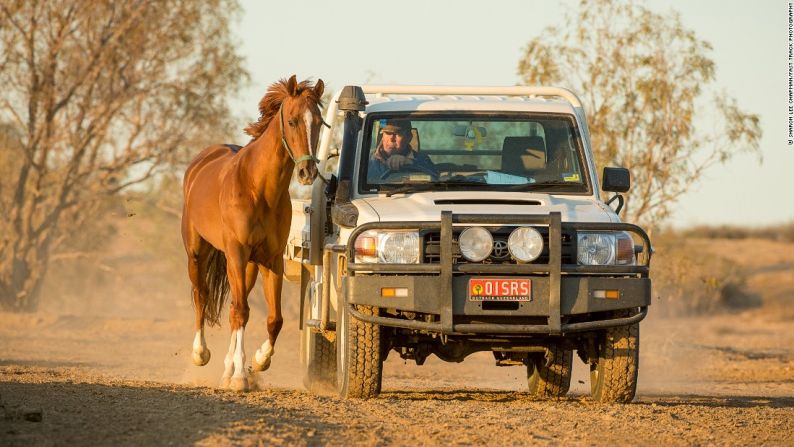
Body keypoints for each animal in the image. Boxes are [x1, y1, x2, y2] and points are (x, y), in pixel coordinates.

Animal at [181, 76, 324, 392]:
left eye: (319, 122)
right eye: (293, 121)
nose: (307, 172)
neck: (258, 188)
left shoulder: (271, 260)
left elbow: (274, 319)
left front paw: (257, 362)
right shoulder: (236, 253)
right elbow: (241, 311)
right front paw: (239, 376)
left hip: (247, 267)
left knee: (235, 309)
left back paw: (228, 368)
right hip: (199, 253)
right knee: (202, 296)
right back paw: (200, 354)